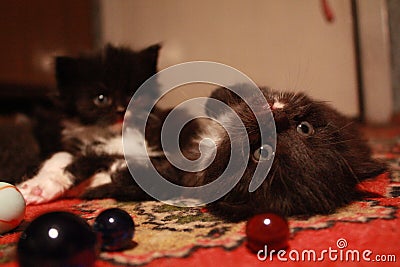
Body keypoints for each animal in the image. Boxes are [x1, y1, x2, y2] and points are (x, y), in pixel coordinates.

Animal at [17, 44, 169, 205]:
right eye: (101, 99)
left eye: (133, 95)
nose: (121, 110)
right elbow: (61, 155)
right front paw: (36, 184)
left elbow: (88, 160)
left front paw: (43, 186)